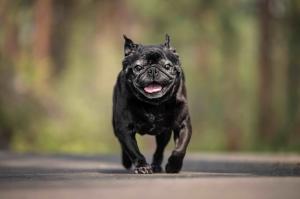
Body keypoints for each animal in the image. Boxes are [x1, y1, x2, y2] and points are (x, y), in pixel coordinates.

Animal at [112, 34, 192, 174]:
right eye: (138, 68)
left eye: (167, 66)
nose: (153, 70)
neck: (154, 104)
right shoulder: (124, 128)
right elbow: (133, 150)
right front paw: (142, 166)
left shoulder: (183, 125)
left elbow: (180, 148)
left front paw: (174, 166)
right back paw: (127, 161)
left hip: (163, 134)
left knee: (159, 150)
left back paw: (156, 166)